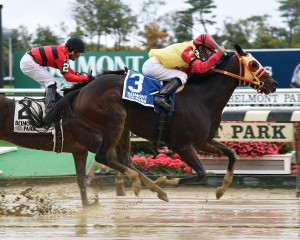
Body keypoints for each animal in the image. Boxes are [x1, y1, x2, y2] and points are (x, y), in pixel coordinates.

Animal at [24, 44, 278, 200]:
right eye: (254, 64)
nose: (273, 83)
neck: (202, 98)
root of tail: (84, 88)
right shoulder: (182, 144)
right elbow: (201, 174)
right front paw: (166, 179)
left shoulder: (204, 142)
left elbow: (232, 155)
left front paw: (222, 189)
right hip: (115, 121)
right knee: (104, 157)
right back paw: (142, 183)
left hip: (122, 127)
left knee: (122, 159)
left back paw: (150, 187)